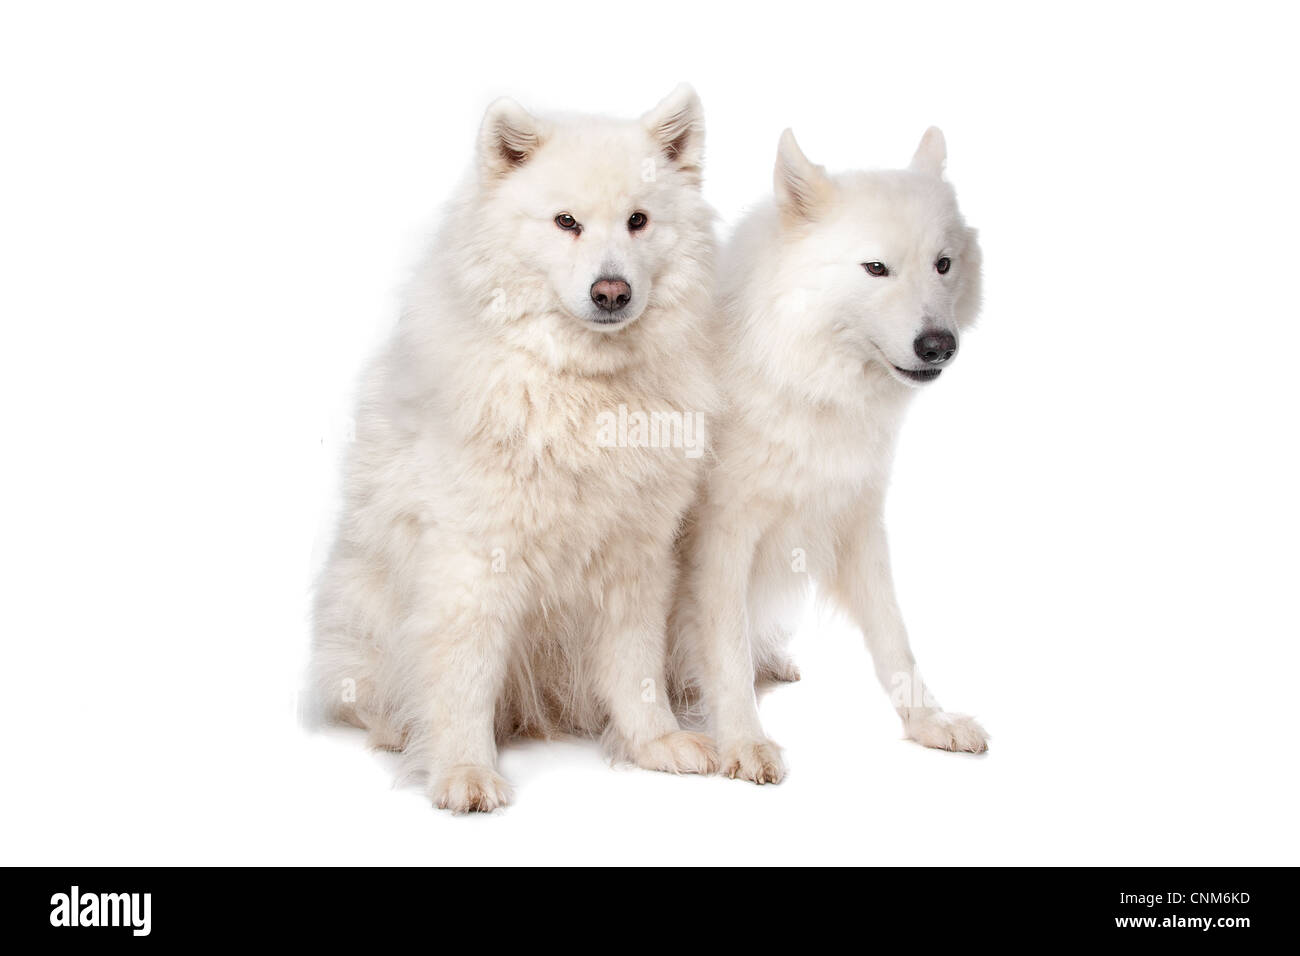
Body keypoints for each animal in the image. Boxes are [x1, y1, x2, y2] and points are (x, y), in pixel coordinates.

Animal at [312, 83, 722, 816]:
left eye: (638, 221)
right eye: (566, 222)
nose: (612, 291)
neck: (581, 387)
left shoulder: (636, 558)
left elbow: (637, 668)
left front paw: (656, 743)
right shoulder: (474, 559)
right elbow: (463, 677)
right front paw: (463, 772)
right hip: (364, 608)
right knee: (369, 691)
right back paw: (395, 729)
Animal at [670, 127, 982, 785]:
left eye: (943, 264)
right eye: (876, 268)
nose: (939, 346)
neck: (800, 378)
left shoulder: (857, 522)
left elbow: (894, 637)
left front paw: (929, 723)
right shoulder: (722, 539)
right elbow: (726, 649)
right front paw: (744, 741)